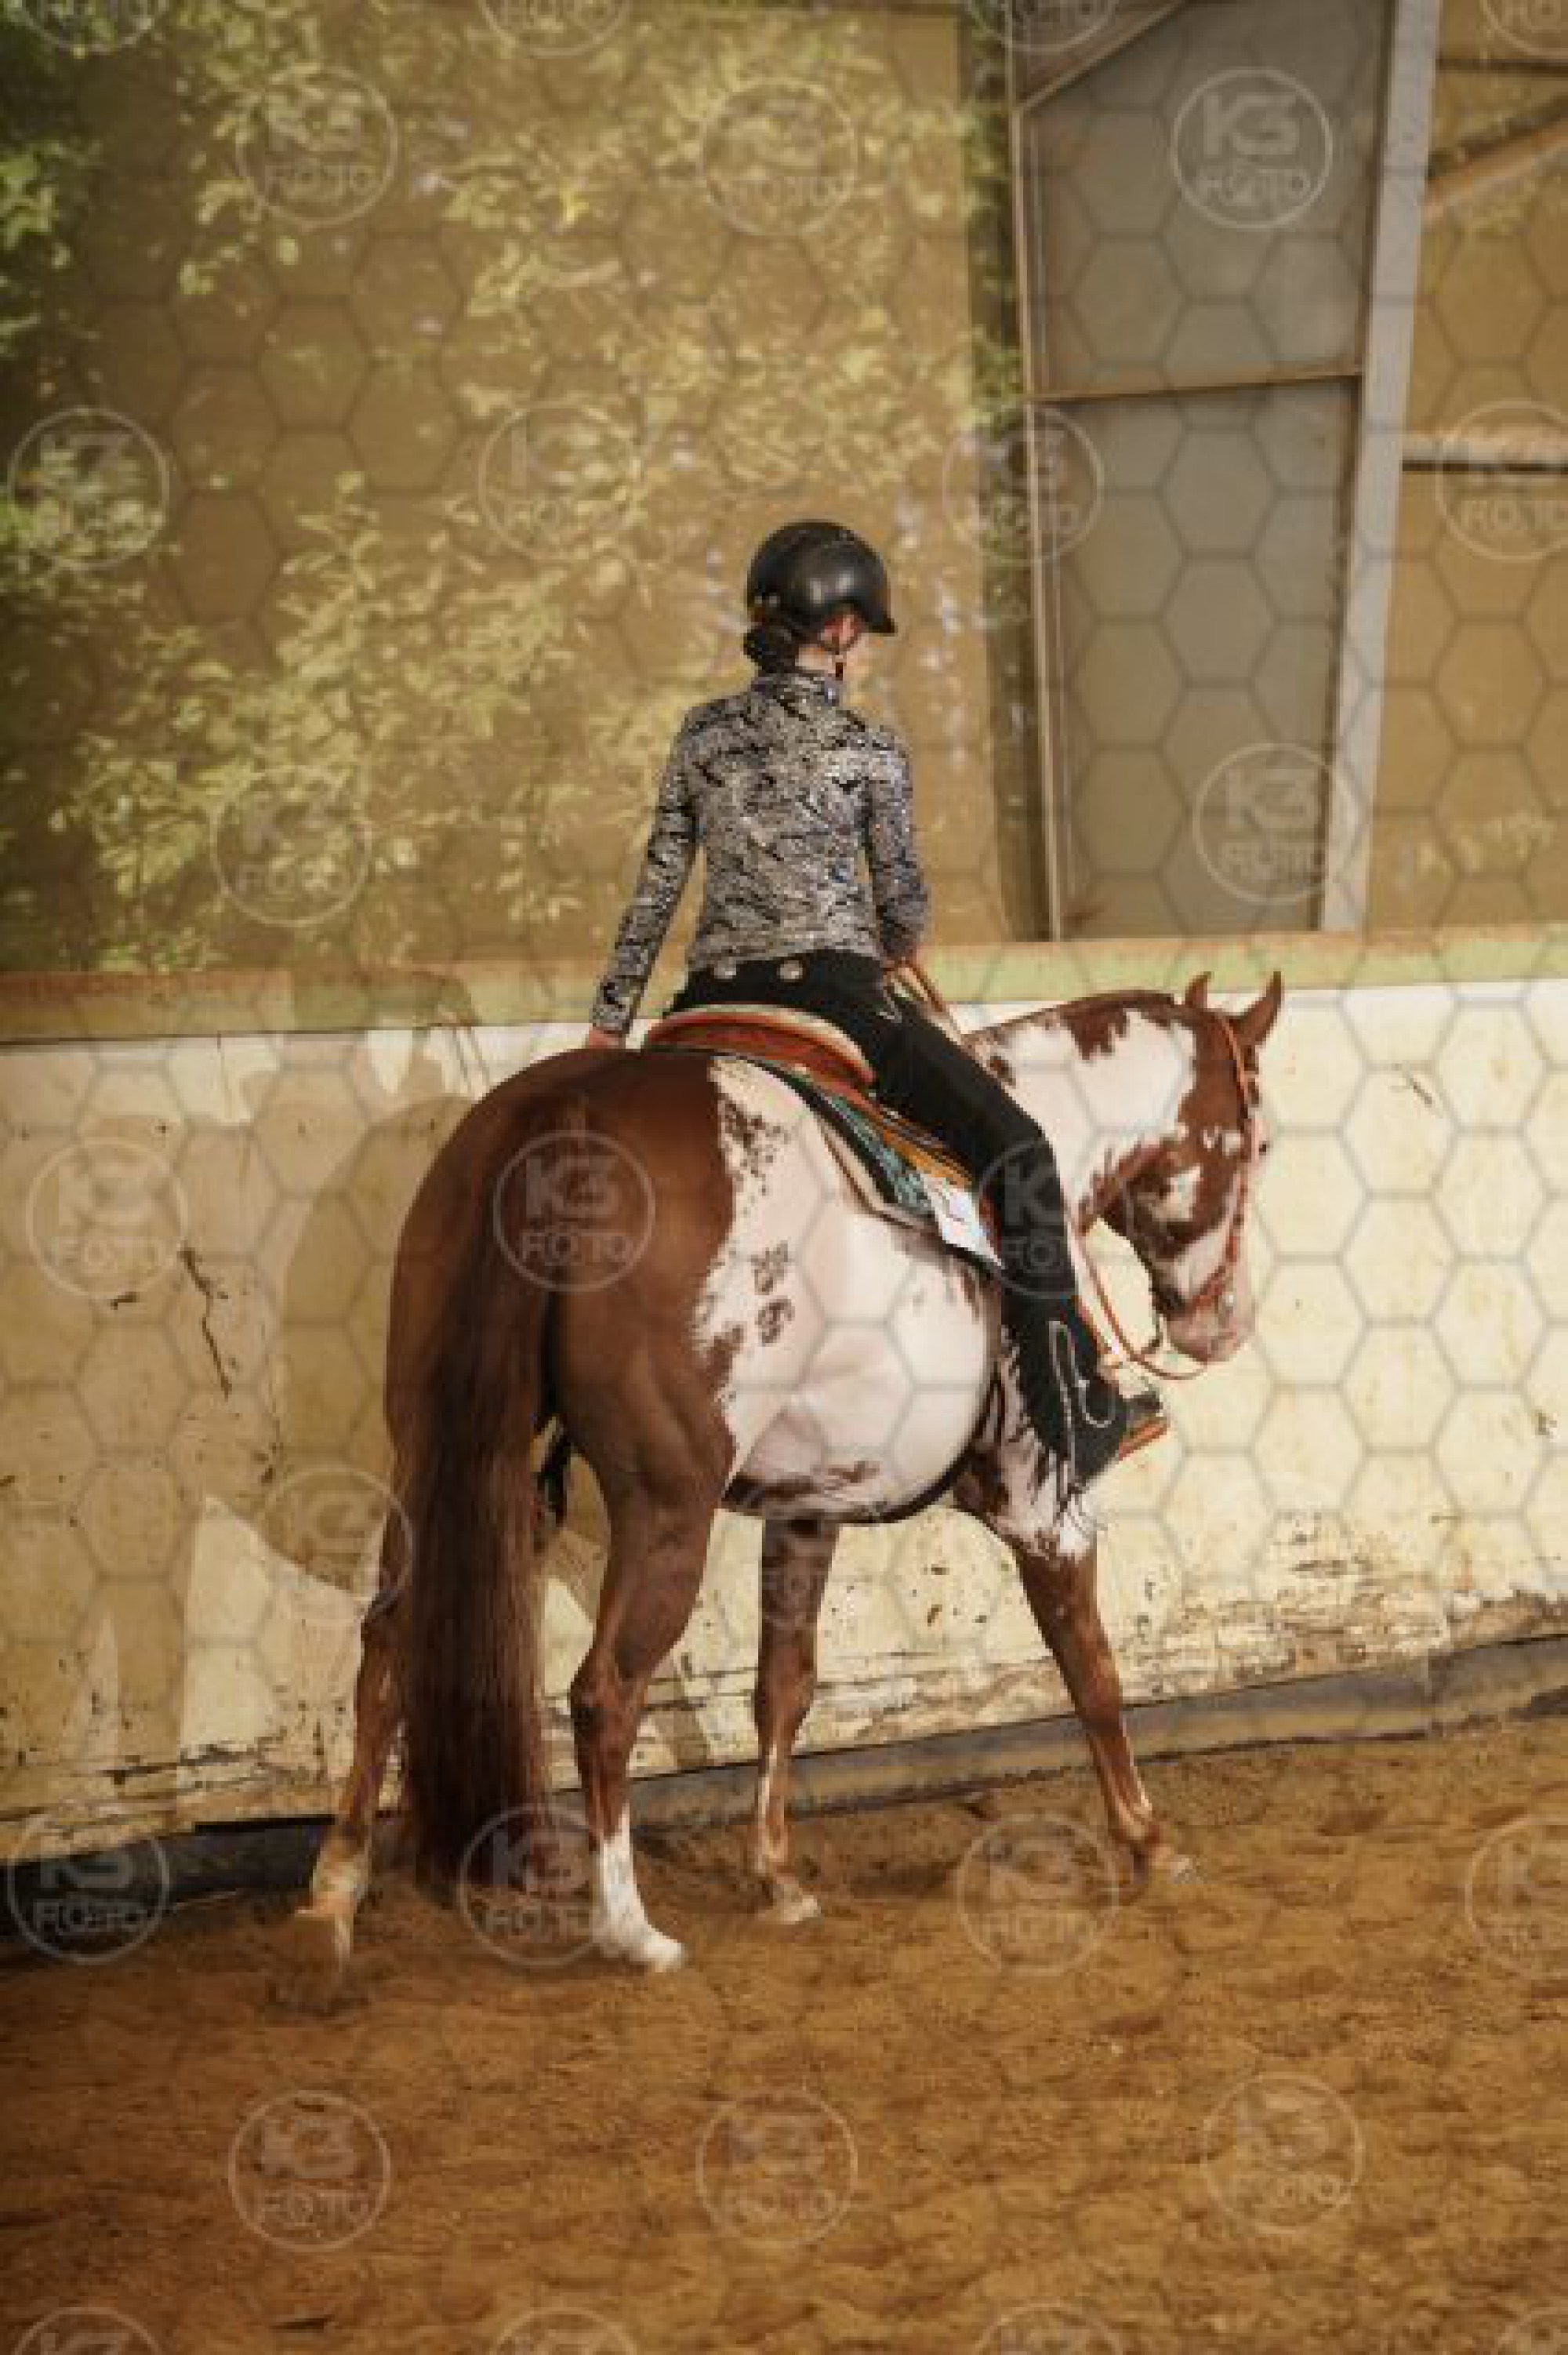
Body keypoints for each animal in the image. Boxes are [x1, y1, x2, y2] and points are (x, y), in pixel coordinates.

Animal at [282, 968, 1282, 1991]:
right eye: (1259, 1143)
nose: (1224, 1321)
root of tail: (565, 1110)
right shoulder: (1041, 1506)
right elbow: (1091, 1668)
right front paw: (1150, 1840)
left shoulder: (811, 1506)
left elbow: (783, 1684)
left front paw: (775, 1875)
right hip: (667, 1502)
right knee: (604, 1691)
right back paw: (630, 1928)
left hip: (435, 1450)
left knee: (390, 1647)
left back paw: (334, 1893)